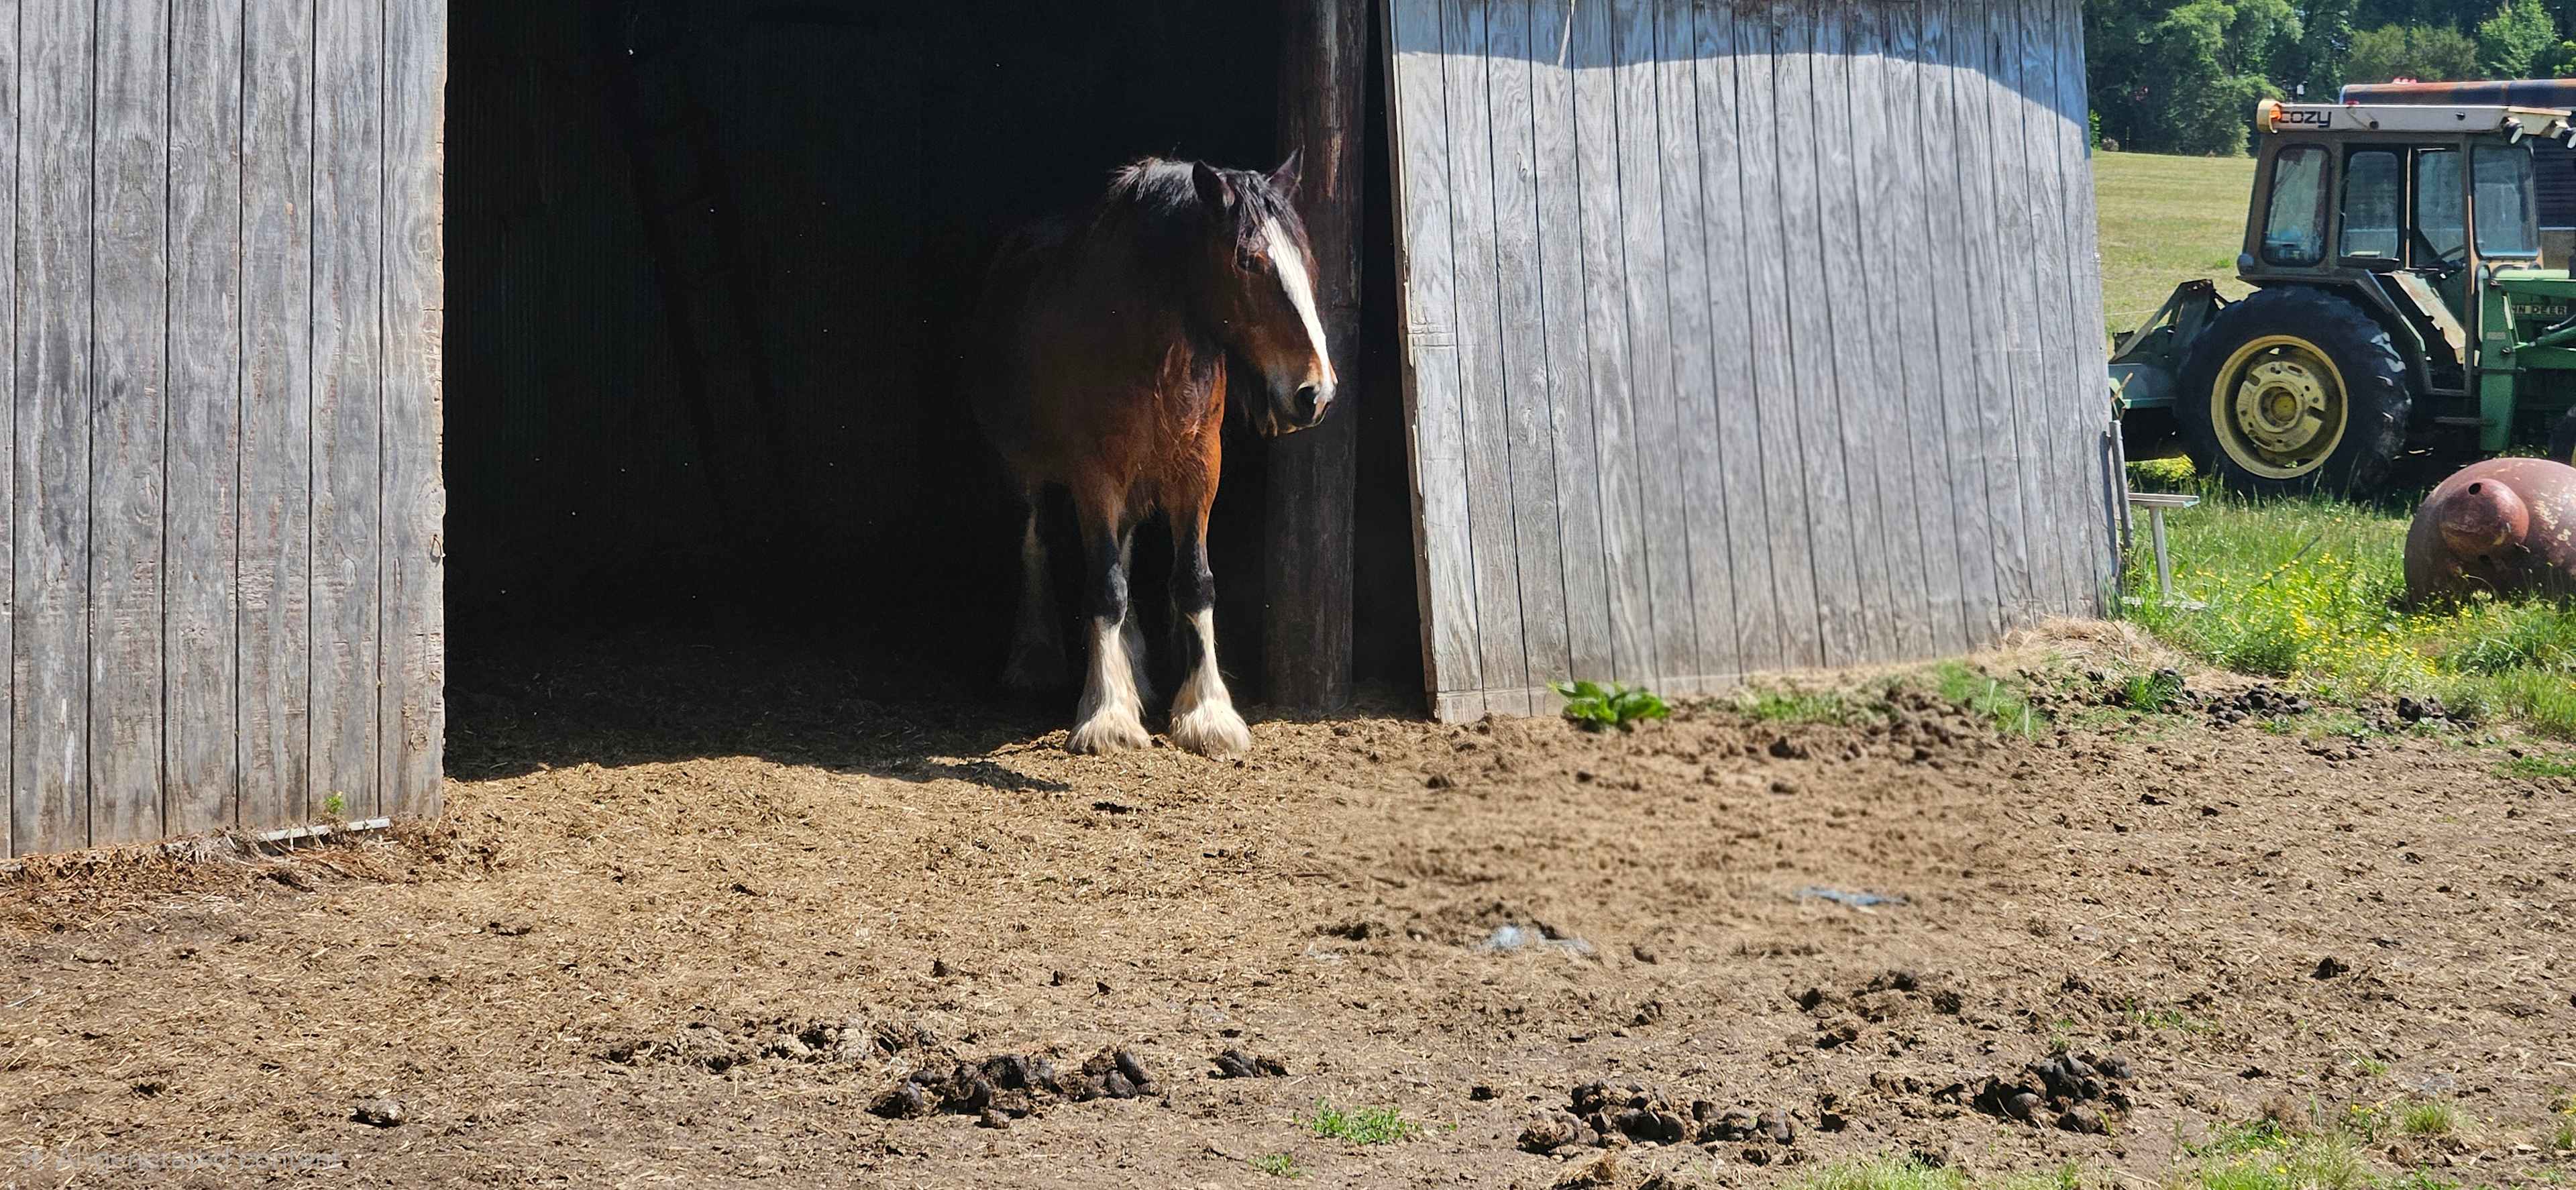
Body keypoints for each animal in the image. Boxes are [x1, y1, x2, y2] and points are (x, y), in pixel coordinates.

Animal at [966, 154, 1336, 756]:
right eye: (1248, 262)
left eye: (1306, 262)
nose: (1316, 394)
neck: (1135, 341)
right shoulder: (1092, 476)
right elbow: (1105, 586)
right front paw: (1106, 715)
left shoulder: (1198, 471)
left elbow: (1193, 581)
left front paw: (1206, 713)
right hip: (1033, 471)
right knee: (1038, 542)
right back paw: (1037, 660)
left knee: (1123, 545)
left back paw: (1131, 669)